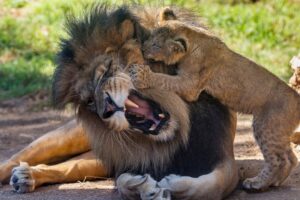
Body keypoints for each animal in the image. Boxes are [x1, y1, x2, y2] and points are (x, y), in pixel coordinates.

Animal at [0, 5, 239, 199]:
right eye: (89, 101)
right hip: (63, 138)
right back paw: (21, 173)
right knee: (15, 159)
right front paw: (142, 186)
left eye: (107, 69)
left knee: (73, 165)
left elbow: (212, 186)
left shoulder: (223, 155)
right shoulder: (126, 159)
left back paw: (27, 176)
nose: (105, 108)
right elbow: (123, 181)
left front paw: (172, 185)